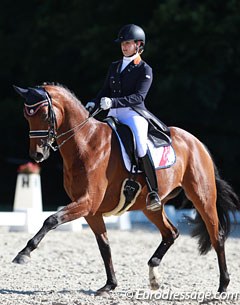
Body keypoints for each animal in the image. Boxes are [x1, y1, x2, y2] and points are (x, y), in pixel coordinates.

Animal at [12, 83, 240, 294]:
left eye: (44, 114)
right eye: (26, 115)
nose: (37, 155)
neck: (85, 143)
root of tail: (196, 143)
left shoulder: (87, 202)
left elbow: (51, 219)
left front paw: (24, 253)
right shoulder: (91, 211)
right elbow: (104, 246)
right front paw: (110, 284)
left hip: (202, 197)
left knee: (216, 236)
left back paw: (223, 285)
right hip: (150, 207)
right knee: (171, 233)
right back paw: (153, 273)